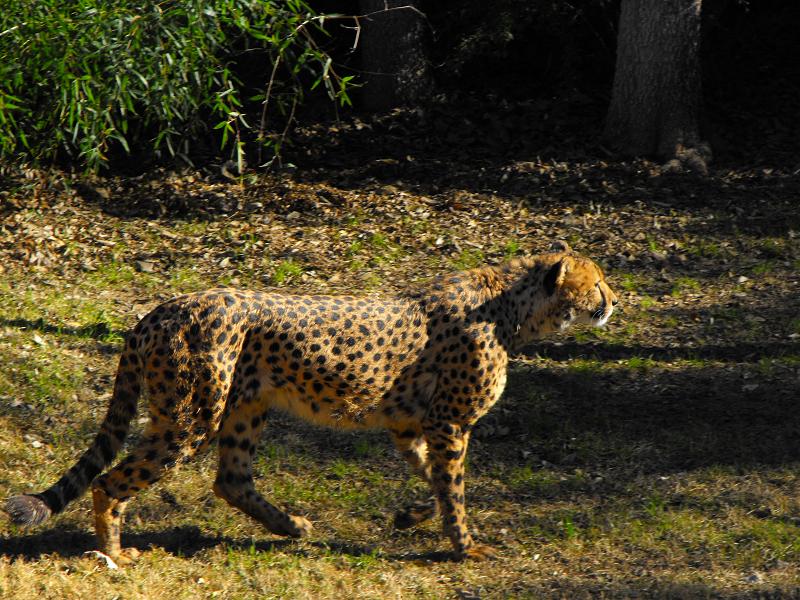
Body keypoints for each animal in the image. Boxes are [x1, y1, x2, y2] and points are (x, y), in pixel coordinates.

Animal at [5, 240, 617, 563]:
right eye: (596, 283)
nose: (614, 301)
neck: (512, 307)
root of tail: (157, 311)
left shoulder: (412, 426)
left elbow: (436, 481)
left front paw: (412, 515)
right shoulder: (448, 422)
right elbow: (455, 488)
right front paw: (466, 547)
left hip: (245, 407)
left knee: (230, 479)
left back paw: (291, 527)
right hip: (193, 415)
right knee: (113, 481)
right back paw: (114, 552)